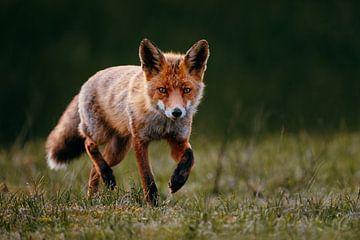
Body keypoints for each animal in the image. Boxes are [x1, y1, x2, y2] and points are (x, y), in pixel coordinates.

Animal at [45, 38, 210, 205]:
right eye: (162, 90)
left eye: (186, 90)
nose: (177, 112)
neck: (162, 124)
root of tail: (89, 80)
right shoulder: (139, 141)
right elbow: (147, 177)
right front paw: (153, 204)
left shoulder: (177, 140)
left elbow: (190, 157)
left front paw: (178, 180)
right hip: (101, 134)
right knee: (88, 143)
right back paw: (105, 177)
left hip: (118, 151)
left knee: (93, 170)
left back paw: (95, 195)